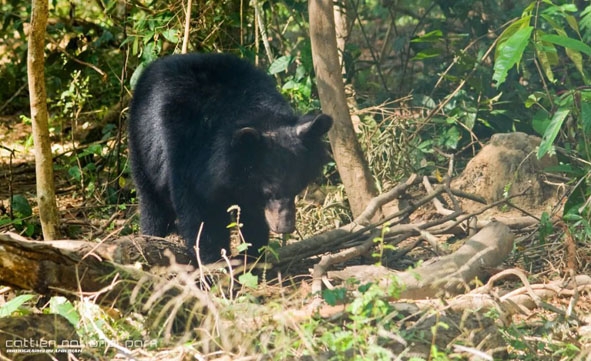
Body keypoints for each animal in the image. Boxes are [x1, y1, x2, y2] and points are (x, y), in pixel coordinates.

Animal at [128, 52, 332, 262]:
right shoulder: (186, 152)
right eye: (269, 192)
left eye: (296, 189)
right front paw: (213, 260)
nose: (285, 227)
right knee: (152, 200)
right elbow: (200, 213)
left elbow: (253, 218)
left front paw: (252, 256)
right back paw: (152, 236)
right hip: (142, 143)